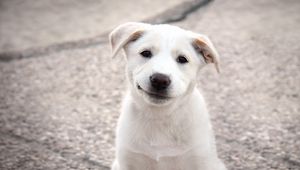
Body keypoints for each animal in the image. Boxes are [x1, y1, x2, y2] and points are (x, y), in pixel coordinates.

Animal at [109, 22, 226, 170]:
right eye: (145, 53)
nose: (160, 80)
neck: (159, 116)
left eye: (182, 59)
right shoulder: (126, 162)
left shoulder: (202, 162)